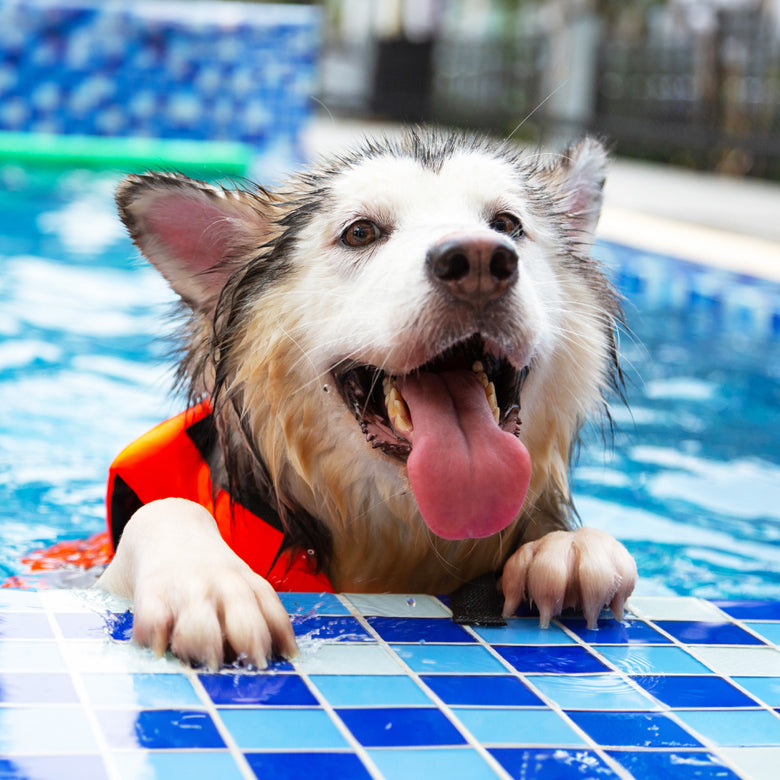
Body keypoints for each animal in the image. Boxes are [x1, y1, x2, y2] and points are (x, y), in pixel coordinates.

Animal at [97, 129, 636, 672]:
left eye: (506, 224)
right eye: (360, 232)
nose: (480, 261)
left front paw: (567, 546)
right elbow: (164, 511)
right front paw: (209, 582)